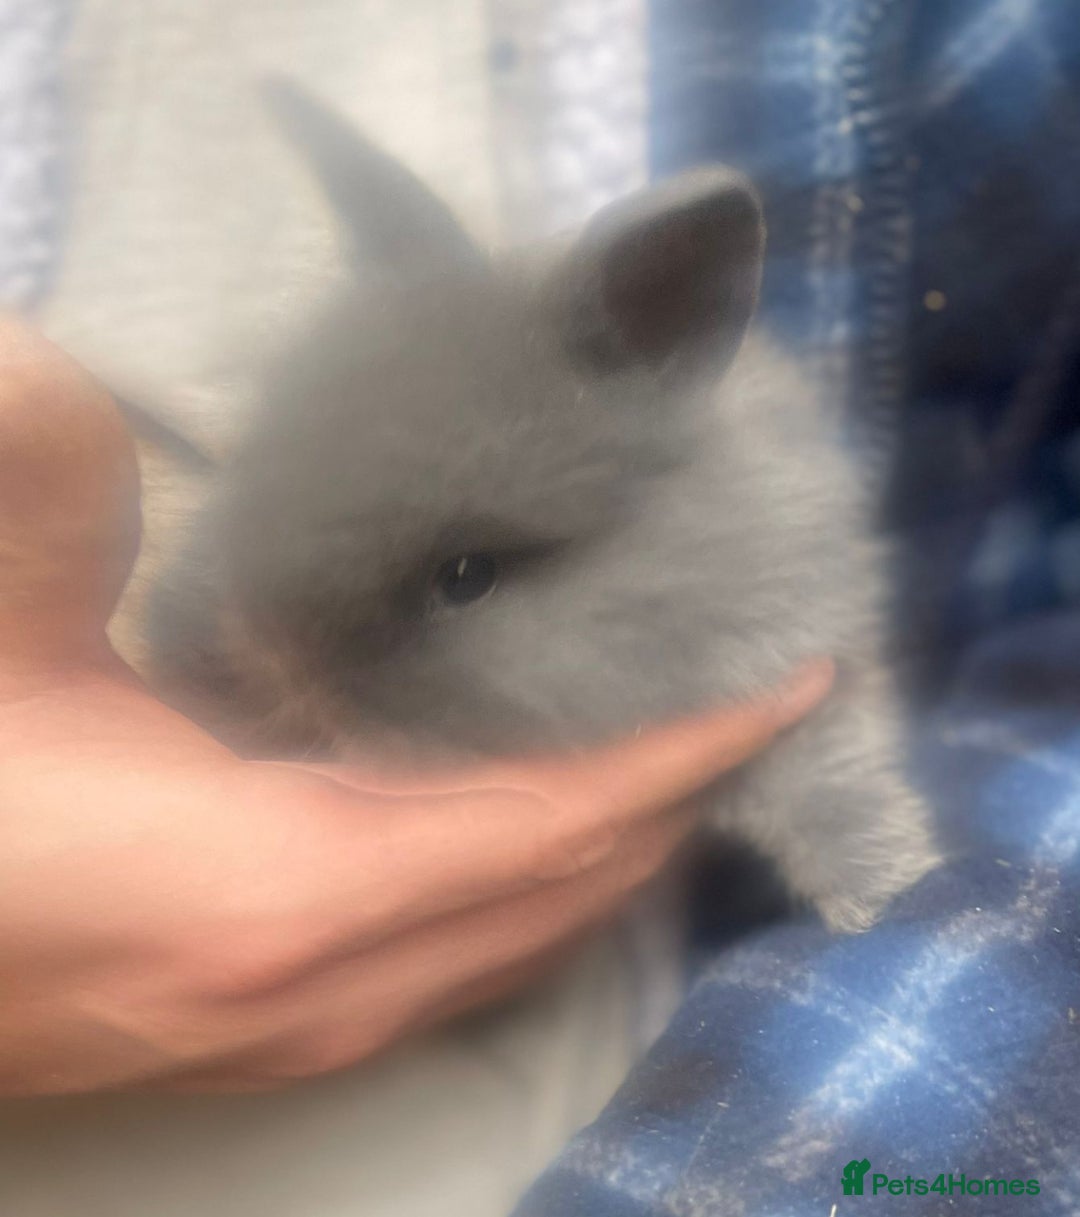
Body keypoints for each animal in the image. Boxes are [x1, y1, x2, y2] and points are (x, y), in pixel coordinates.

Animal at [113, 81, 941, 935]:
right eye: (262, 469)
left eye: (467, 576)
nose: (294, 673)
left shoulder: (808, 673)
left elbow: (833, 789)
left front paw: (893, 889)